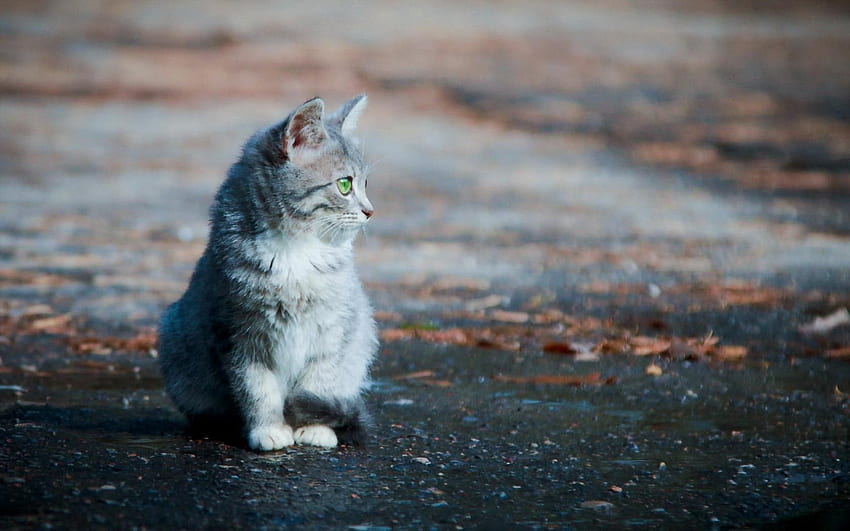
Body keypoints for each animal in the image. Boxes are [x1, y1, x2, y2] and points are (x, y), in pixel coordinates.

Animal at [157, 96, 376, 454]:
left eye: (366, 184)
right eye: (345, 184)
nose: (370, 211)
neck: (297, 252)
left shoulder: (334, 331)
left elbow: (320, 381)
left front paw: (314, 428)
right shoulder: (238, 337)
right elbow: (258, 391)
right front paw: (268, 429)